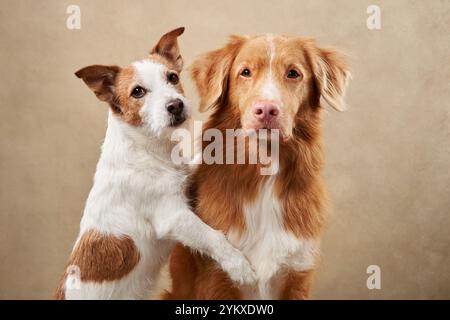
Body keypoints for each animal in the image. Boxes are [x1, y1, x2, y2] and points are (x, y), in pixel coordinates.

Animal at [54, 27, 255, 300]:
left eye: (172, 77)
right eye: (137, 92)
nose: (176, 105)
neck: (147, 150)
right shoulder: (173, 216)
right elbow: (212, 237)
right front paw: (239, 266)